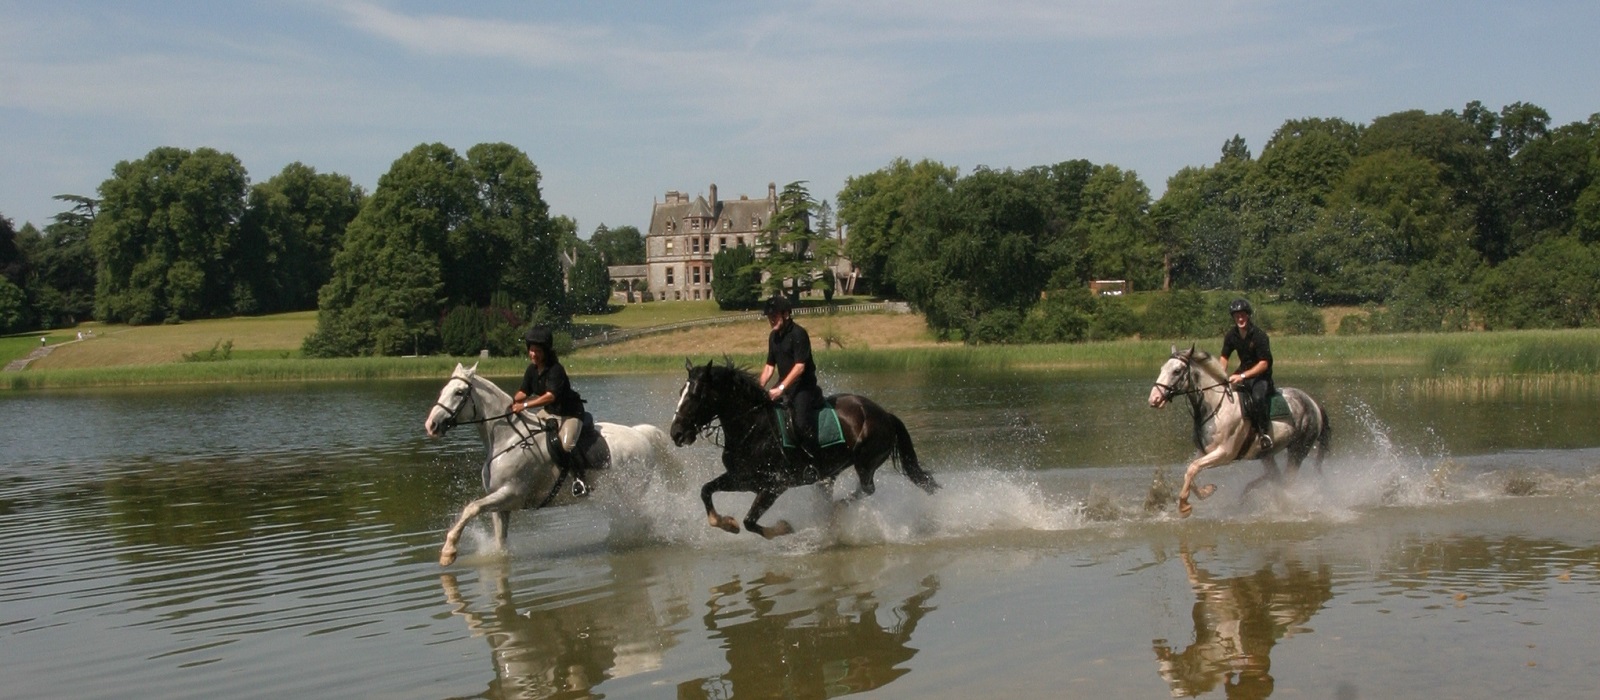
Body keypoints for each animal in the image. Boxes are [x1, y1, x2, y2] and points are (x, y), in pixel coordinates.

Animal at [422, 364, 672, 565]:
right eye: (443, 391)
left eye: (459, 392)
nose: (431, 425)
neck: (508, 439)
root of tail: (640, 433)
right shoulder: (500, 504)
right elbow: (499, 540)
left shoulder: (512, 494)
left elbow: (471, 508)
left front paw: (448, 552)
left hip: (632, 491)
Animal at [665, 357, 934, 540]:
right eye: (680, 392)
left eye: (697, 395)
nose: (676, 433)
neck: (753, 428)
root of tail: (885, 414)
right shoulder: (742, 479)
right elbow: (706, 491)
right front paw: (726, 524)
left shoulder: (774, 485)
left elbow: (750, 522)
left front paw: (784, 528)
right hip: (832, 470)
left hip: (866, 462)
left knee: (867, 488)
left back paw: (836, 511)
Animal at [1145, 346, 1331, 517]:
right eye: (1162, 368)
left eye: (1177, 371)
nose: (1154, 399)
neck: (1215, 407)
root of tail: (1313, 403)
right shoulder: (1204, 451)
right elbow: (1190, 470)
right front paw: (1206, 491)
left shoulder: (1224, 454)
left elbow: (1193, 468)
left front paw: (1184, 506)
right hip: (1266, 454)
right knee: (1276, 477)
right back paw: (1248, 493)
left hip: (1298, 450)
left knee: (1286, 481)